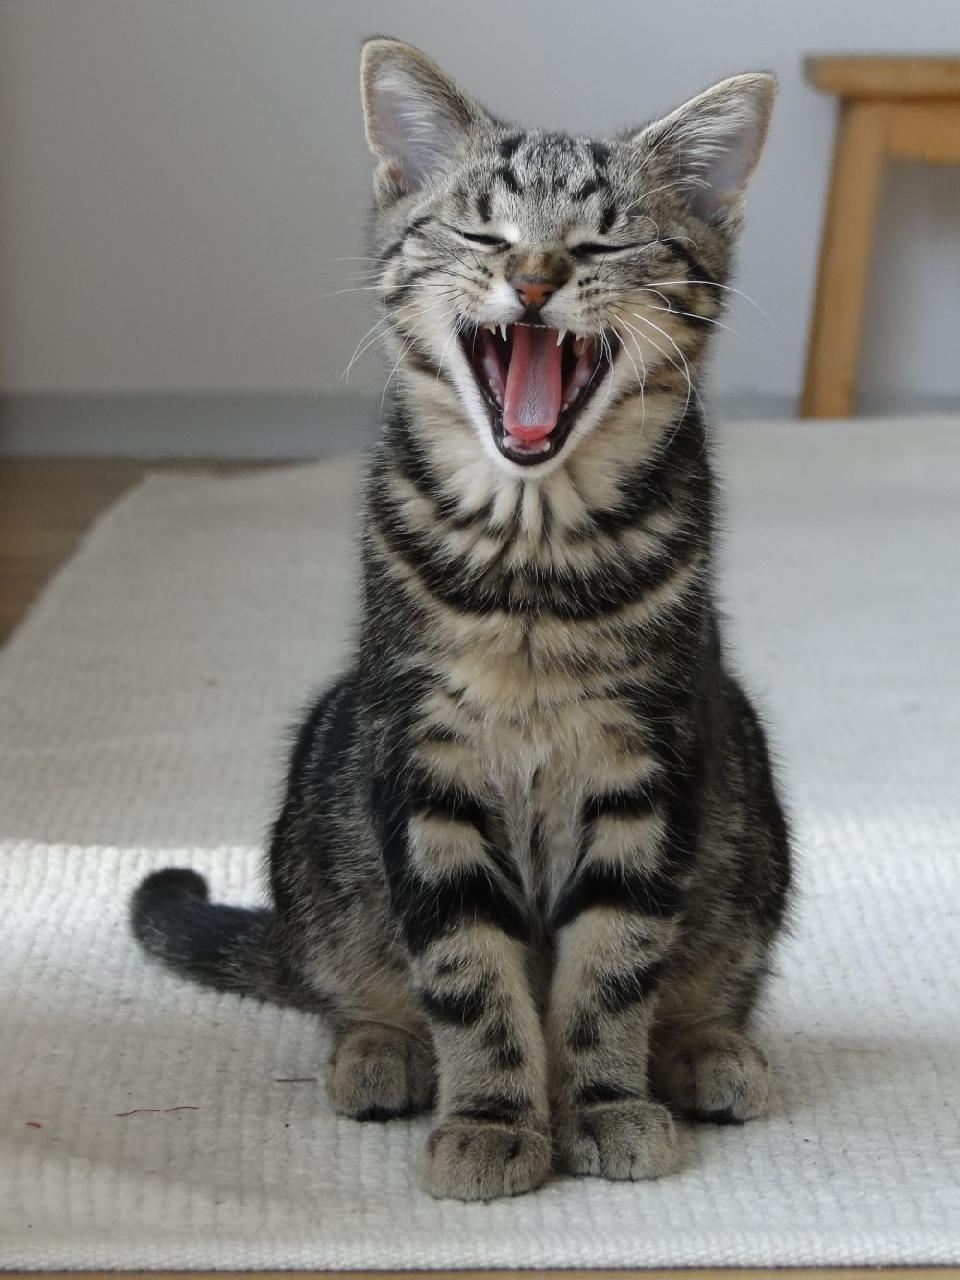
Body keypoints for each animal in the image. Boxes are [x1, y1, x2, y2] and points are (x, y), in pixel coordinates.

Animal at [131, 37, 791, 1202]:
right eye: (483, 229)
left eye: (607, 237)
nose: (534, 278)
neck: (531, 559)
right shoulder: (422, 763)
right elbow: (466, 967)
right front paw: (490, 1116)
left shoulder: (648, 761)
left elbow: (615, 962)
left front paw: (606, 1102)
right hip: (330, 768)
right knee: (341, 975)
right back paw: (378, 1048)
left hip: (744, 785)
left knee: (714, 966)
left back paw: (708, 1048)